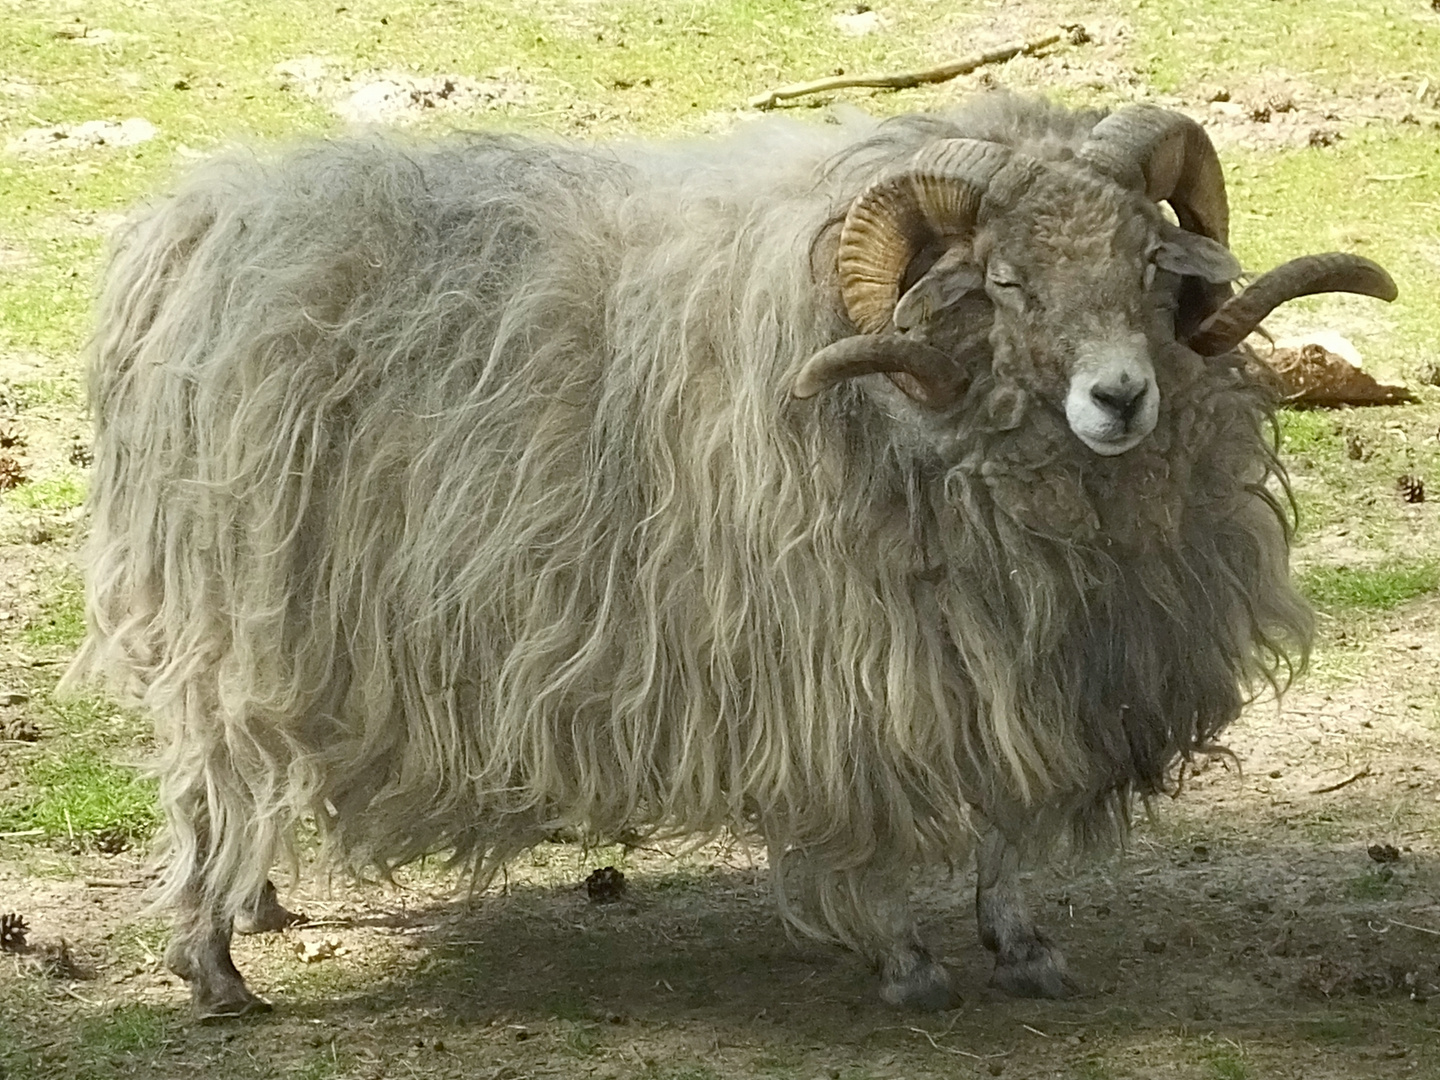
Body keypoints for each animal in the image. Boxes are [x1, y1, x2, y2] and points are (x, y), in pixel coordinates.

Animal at [70, 95, 1393, 1025]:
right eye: (1007, 283)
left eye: (1145, 264)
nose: (1122, 397)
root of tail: (198, 222)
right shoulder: (857, 671)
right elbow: (880, 828)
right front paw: (907, 961)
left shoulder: (1016, 659)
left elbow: (1009, 819)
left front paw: (1022, 947)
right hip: (227, 622)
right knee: (208, 779)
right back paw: (213, 966)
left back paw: (258, 903)